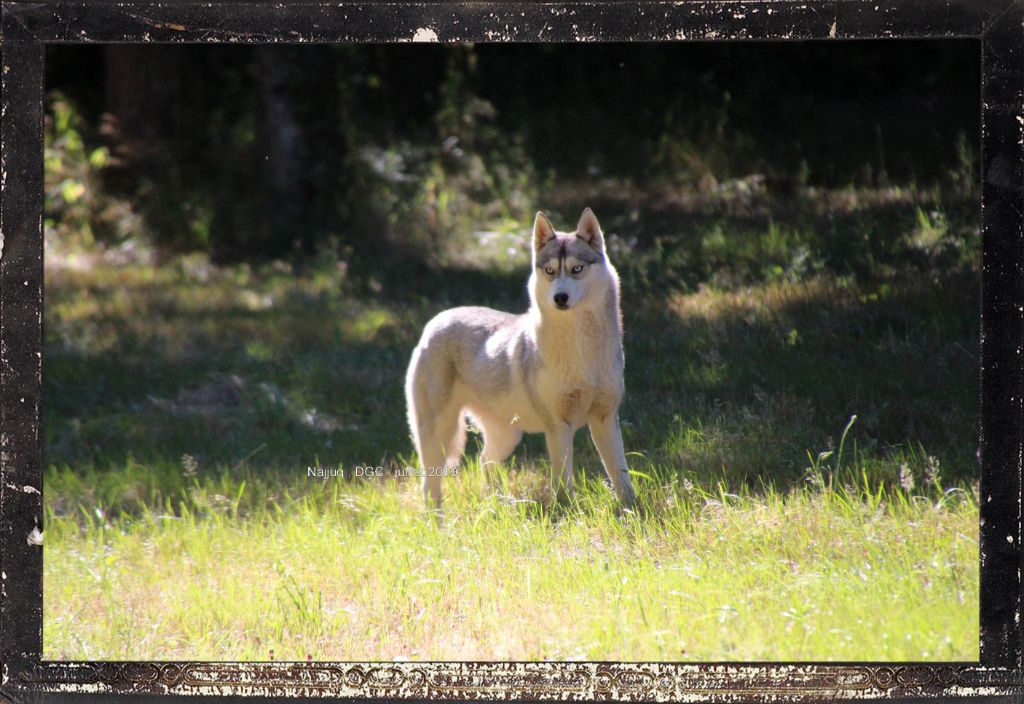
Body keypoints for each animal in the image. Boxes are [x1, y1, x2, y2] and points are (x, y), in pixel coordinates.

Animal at [403, 206, 634, 509]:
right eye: (550, 271)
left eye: (577, 269)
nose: (560, 297)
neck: (581, 350)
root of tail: (436, 320)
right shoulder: (558, 427)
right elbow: (564, 482)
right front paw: (570, 513)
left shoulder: (605, 419)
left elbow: (620, 474)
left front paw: (632, 510)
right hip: (438, 435)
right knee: (430, 485)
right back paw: (439, 518)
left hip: (506, 436)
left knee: (485, 461)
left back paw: (501, 503)